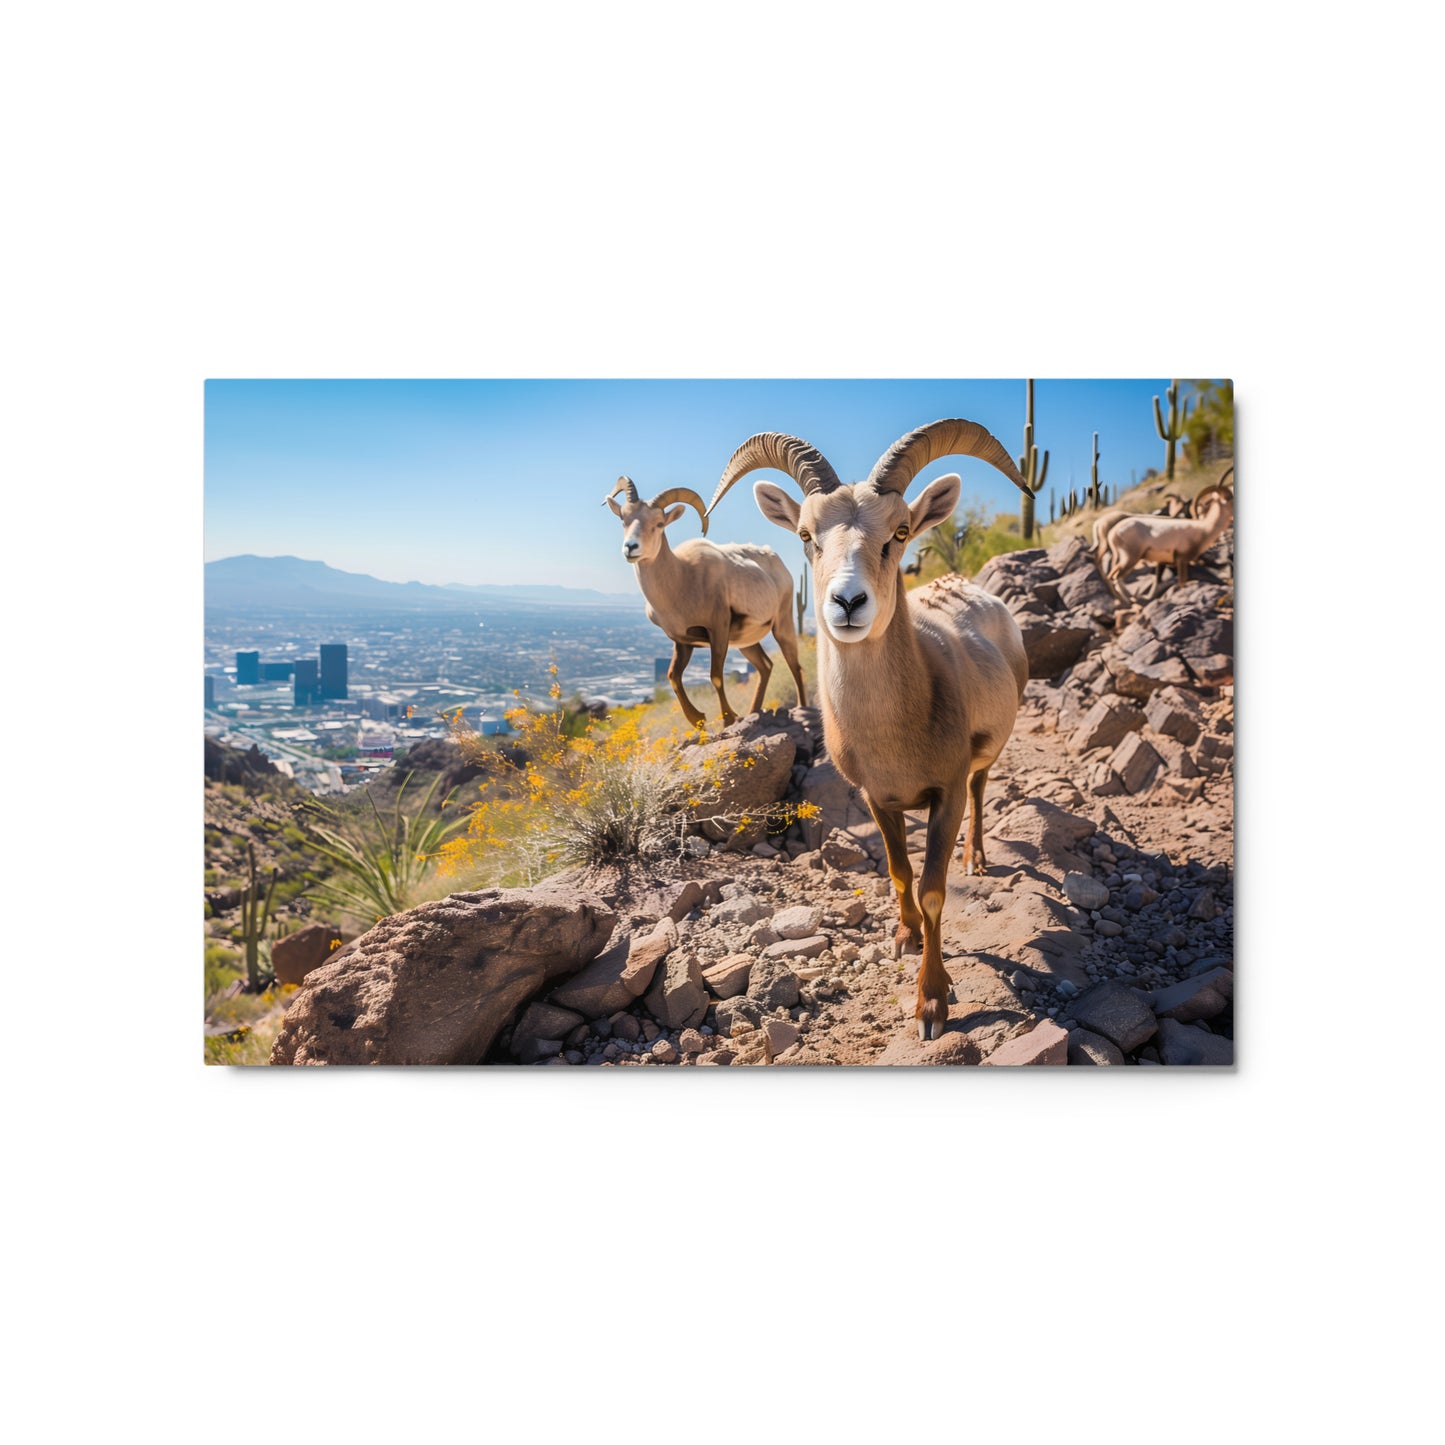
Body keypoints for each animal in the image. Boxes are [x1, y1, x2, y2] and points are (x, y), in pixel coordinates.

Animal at [604, 476, 807, 728]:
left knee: (794, 666)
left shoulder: (717, 629)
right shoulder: (682, 642)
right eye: (623, 518)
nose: (631, 547)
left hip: (782, 624)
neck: (682, 579)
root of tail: (777, 562)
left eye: (659, 523)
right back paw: (753, 712)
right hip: (746, 642)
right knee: (765, 666)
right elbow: (673, 676)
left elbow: (716, 676)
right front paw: (698, 719)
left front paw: (729, 719)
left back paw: (800, 709)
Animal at [706, 421, 1030, 1041]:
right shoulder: (880, 799)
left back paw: (977, 859)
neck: (896, 730)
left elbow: (933, 890)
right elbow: (900, 874)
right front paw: (904, 938)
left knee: (981, 791)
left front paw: (932, 1003)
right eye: (806, 534)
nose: (848, 601)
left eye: (899, 532)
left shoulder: (944, 795)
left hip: (984, 762)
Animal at [1101, 480, 1234, 601]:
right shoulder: (1180, 559)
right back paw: (1129, 599)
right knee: (1117, 577)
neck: (1203, 528)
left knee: (1112, 575)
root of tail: (1113, 532)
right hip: (1130, 558)